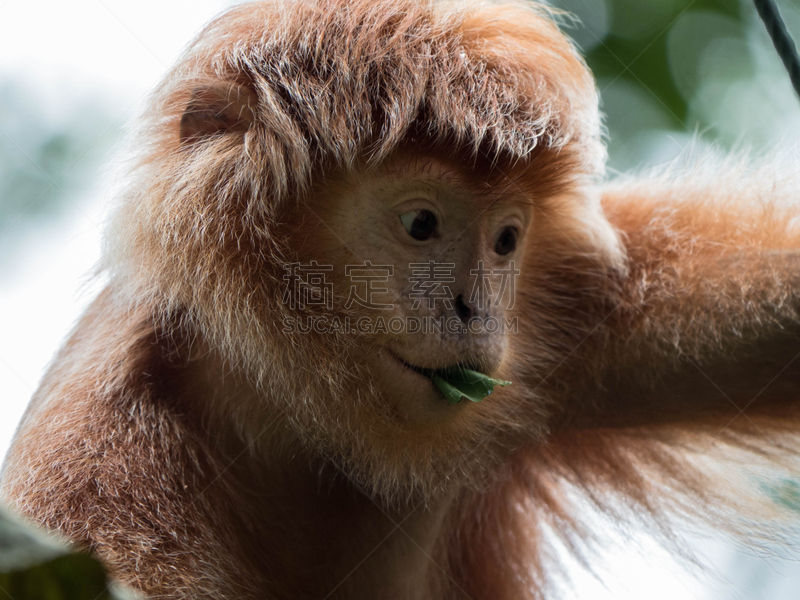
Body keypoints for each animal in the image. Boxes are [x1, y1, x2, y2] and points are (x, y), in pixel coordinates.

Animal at [1, 0, 800, 596]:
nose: (476, 309)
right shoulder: (91, 480)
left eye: (505, 241)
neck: (295, 424)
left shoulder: (572, 318)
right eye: (422, 225)